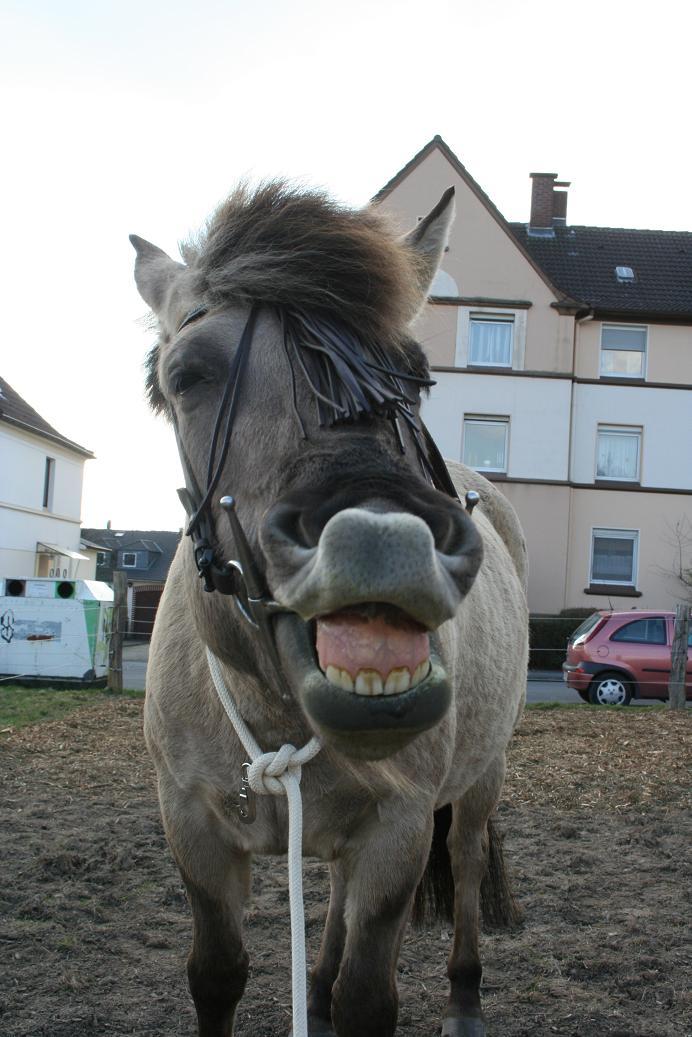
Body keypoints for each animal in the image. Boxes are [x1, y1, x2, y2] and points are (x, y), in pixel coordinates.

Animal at [131, 180, 531, 1037]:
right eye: (186, 375)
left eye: (414, 377)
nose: (380, 539)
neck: (275, 708)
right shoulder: (193, 831)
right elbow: (217, 972)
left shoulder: (400, 829)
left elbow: (368, 997)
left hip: (479, 781)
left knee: (466, 861)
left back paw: (465, 995)